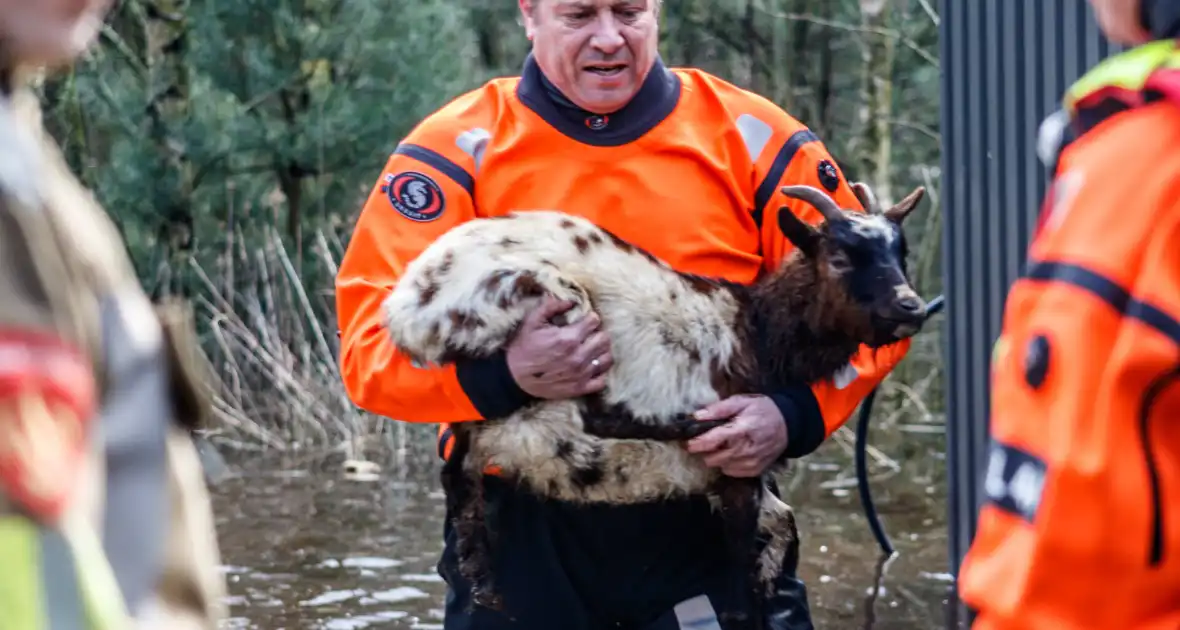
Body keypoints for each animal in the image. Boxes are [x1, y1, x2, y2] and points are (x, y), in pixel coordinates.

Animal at [382, 181, 925, 627]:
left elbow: (782, 521)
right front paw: (746, 601)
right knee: (578, 417)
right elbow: (741, 554)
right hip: (558, 311)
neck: (757, 332)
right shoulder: (736, 465)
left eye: (901, 252)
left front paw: (769, 580)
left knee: (460, 464)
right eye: (839, 257)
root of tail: (409, 303)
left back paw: (485, 585)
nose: (912, 308)